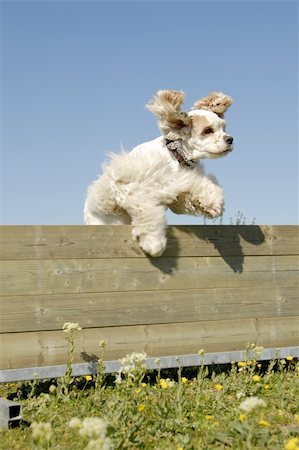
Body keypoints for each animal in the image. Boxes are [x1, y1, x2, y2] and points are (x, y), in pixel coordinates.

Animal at [84, 90, 234, 256]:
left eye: (224, 128)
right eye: (208, 130)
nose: (230, 139)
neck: (174, 157)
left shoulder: (179, 190)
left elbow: (198, 189)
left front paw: (213, 204)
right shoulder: (131, 189)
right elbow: (148, 213)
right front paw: (153, 243)